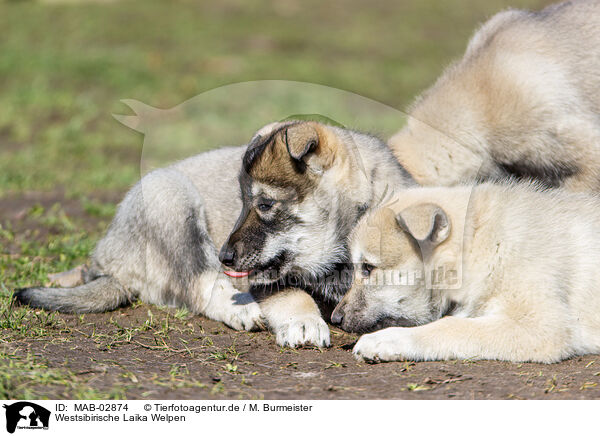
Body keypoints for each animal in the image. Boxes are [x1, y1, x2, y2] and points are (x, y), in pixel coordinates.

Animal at [330, 183, 600, 364]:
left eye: (368, 268)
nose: (335, 319)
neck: (480, 245)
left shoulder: (541, 324)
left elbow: (451, 326)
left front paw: (386, 340)